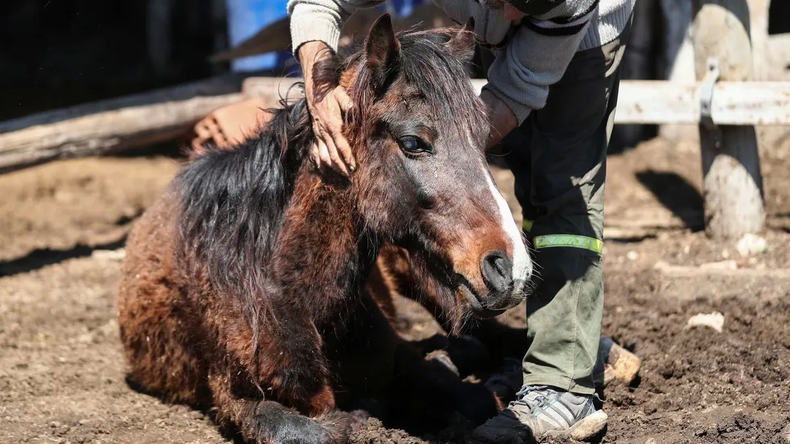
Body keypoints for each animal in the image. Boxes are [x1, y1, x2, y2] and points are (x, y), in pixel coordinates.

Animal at [117, 15, 536, 442]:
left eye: (484, 139)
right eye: (413, 142)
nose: (512, 268)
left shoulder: (400, 359)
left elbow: (477, 400)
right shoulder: (236, 396)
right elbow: (323, 429)